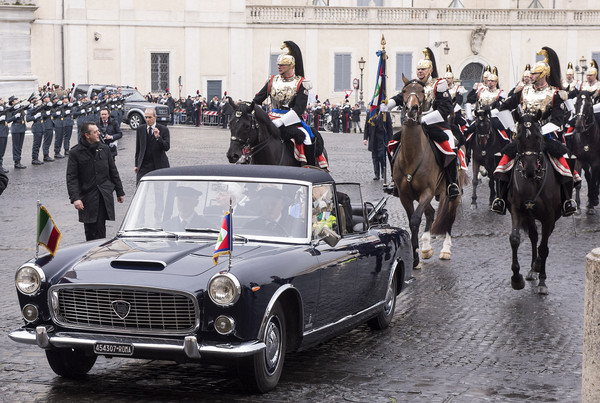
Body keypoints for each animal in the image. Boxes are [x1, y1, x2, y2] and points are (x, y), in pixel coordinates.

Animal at [392, 78, 466, 268]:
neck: (412, 156)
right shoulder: (405, 195)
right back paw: (426, 248)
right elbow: (413, 219)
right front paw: (417, 255)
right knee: (431, 213)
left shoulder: (427, 191)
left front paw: (415, 258)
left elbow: (415, 220)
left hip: (453, 194)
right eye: (404, 91)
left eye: (421, 92)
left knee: (450, 217)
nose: (411, 109)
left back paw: (445, 250)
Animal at [508, 112, 564, 296]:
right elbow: (515, 239)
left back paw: (538, 266)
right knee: (534, 236)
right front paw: (516, 278)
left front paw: (542, 282)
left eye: (539, 137)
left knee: (542, 240)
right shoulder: (517, 210)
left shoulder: (549, 216)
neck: (533, 182)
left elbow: (544, 248)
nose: (530, 170)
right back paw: (533, 268)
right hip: (529, 215)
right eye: (518, 138)